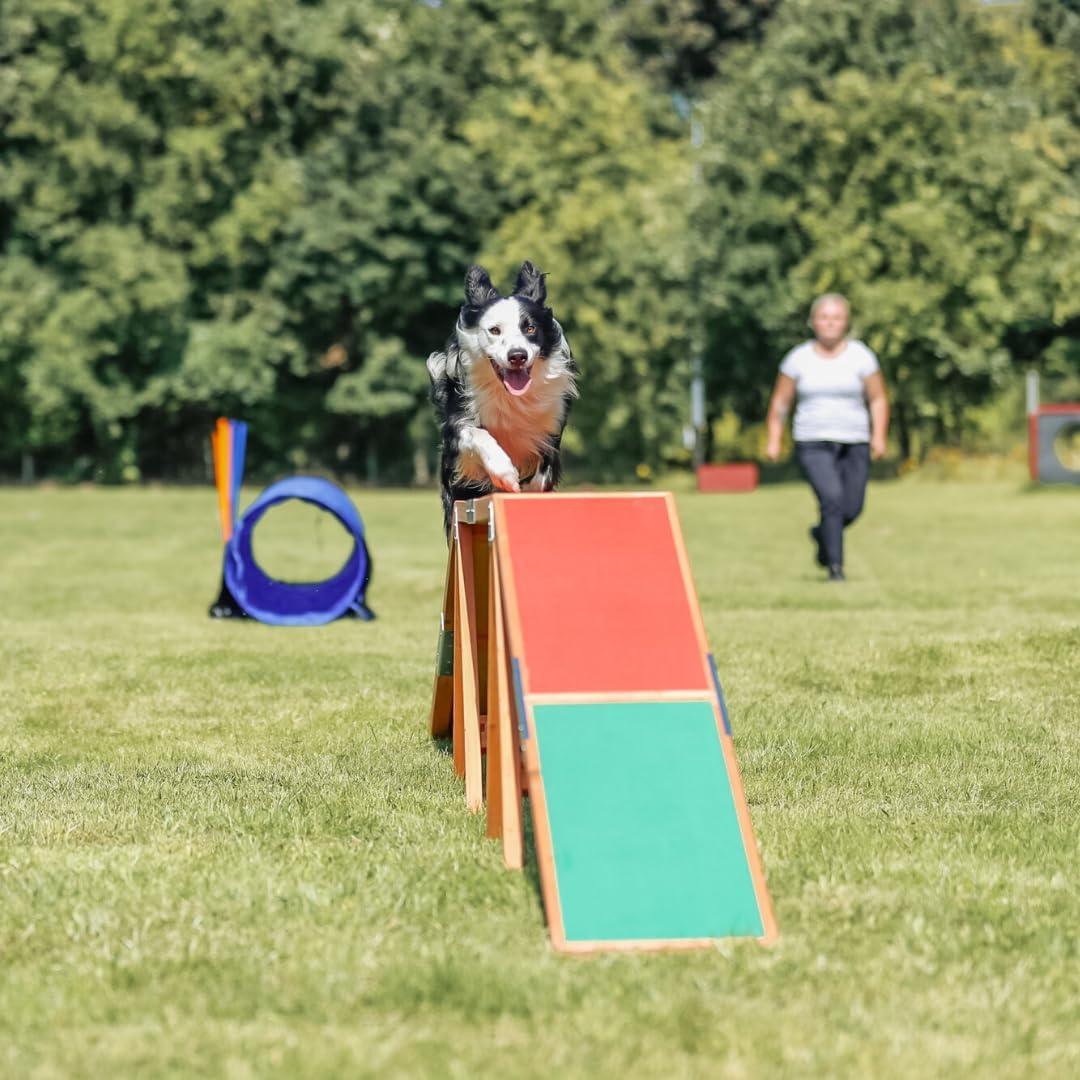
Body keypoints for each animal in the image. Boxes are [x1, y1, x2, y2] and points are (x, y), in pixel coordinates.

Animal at [427, 261, 583, 531]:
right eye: (494, 330)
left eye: (530, 328)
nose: (517, 356)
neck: (511, 395)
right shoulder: (457, 426)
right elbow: (479, 435)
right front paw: (505, 473)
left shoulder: (551, 432)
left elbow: (541, 474)